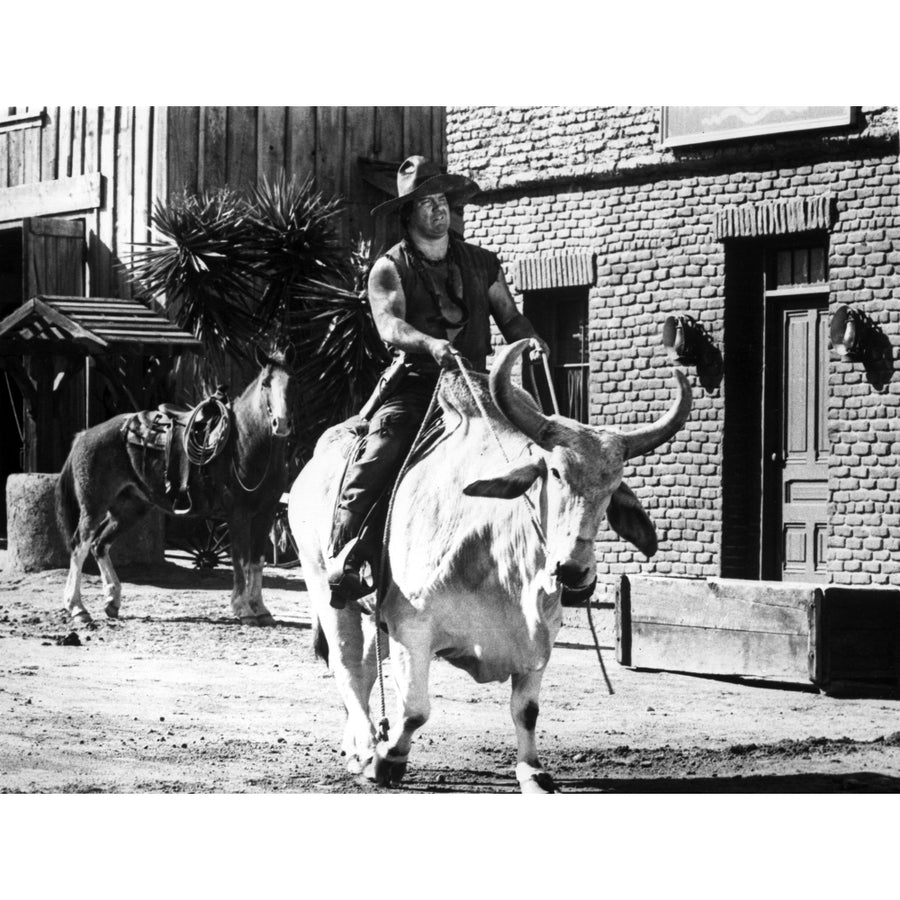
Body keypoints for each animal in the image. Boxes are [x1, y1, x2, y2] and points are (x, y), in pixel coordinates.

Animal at [56, 350, 298, 624]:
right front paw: (243, 609)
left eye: (292, 382)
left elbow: (257, 561)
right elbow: (240, 560)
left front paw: (261, 609)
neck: (246, 442)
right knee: (80, 545)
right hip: (94, 506)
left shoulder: (266, 512)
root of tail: (84, 435)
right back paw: (77, 608)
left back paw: (112, 602)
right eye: (266, 383)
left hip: (130, 508)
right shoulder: (238, 514)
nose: (281, 423)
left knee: (99, 545)